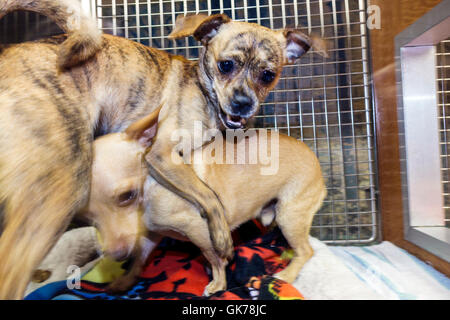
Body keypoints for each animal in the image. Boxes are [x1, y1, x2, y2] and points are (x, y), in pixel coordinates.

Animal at [86, 107, 326, 296]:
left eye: (127, 196)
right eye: (86, 217)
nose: (115, 254)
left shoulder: (200, 232)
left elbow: (216, 259)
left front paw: (218, 285)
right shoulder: (150, 236)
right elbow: (138, 260)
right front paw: (124, 282)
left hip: (289, 217)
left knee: (306, 251)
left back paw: (286, 275)